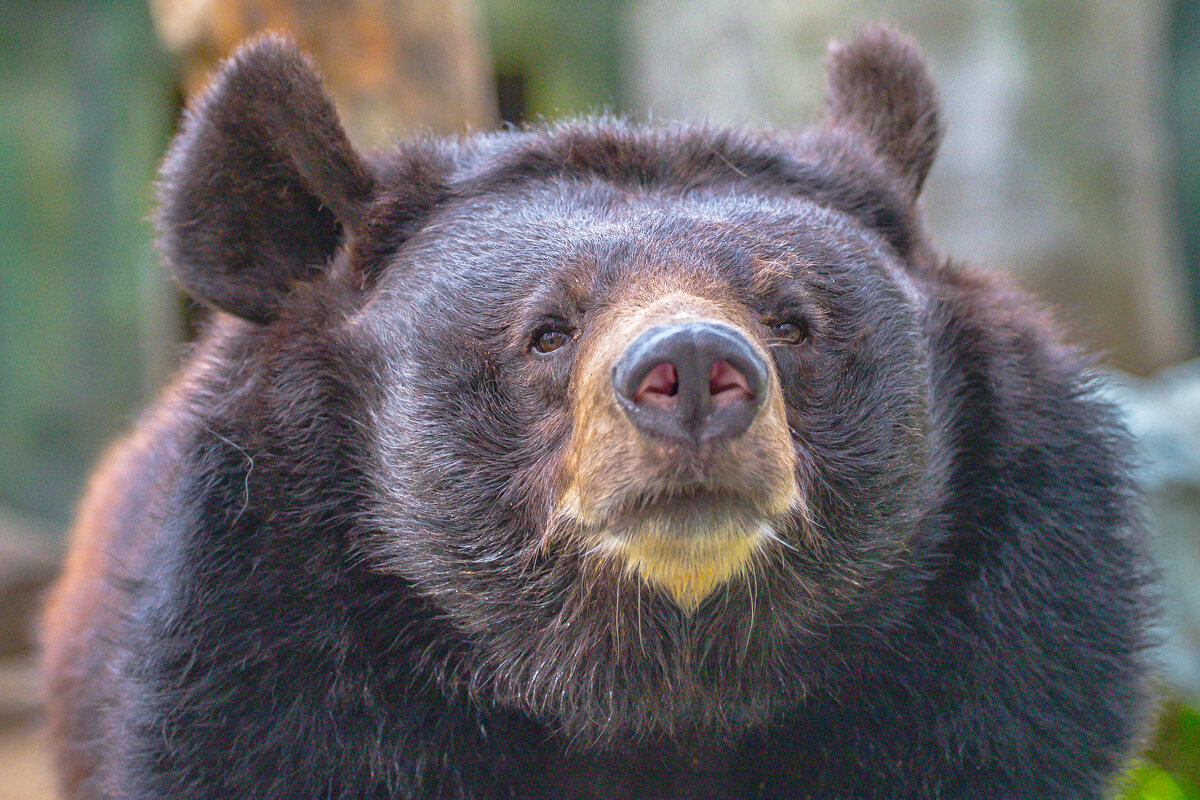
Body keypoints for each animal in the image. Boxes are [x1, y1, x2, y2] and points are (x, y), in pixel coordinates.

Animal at [42, 25, 1152, 800]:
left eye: (793, 320)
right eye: (546, 331)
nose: (694, 370)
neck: (652, 700)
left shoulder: (992, 672)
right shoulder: (261, 663)